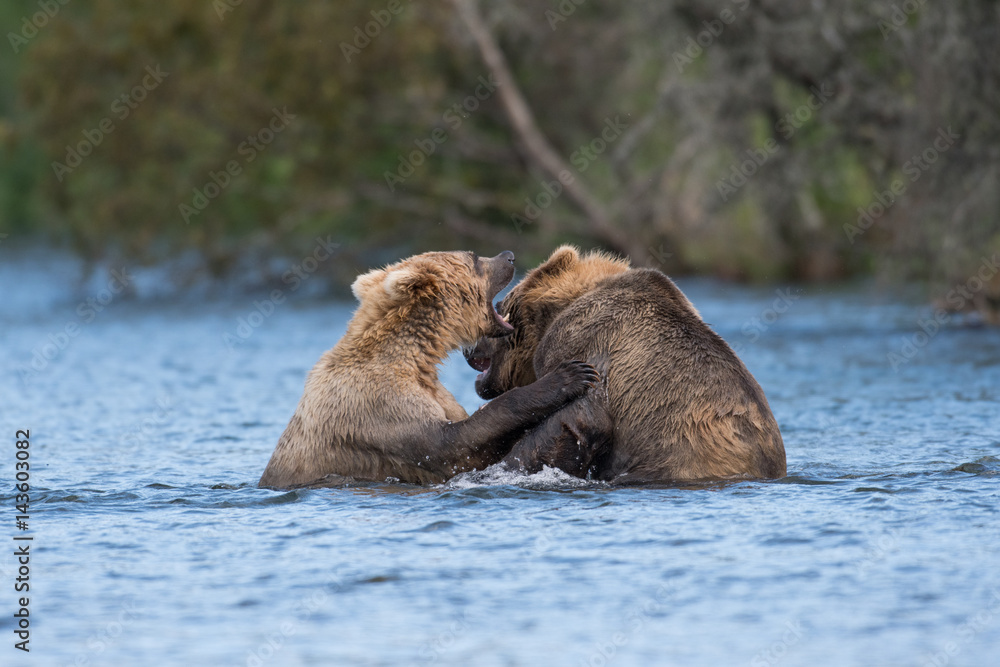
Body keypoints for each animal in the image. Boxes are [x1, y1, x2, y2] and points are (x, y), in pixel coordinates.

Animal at [258, 250, 599, 489]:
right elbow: (453, 443)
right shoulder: (378, 405)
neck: (415, 357)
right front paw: (571, 375)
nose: (510, 256)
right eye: (474, 258)